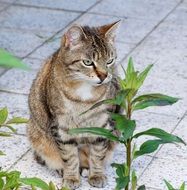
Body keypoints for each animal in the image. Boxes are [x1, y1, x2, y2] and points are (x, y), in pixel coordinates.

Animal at [28, 20, 121, 189]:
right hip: (37, 135)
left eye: (110, 61)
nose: (104, 76)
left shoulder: (103, 125)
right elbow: (69, 157)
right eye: (88, 62)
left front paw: (96, 174)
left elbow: (97, 154)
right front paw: (71, 177)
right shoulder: (61, 128)